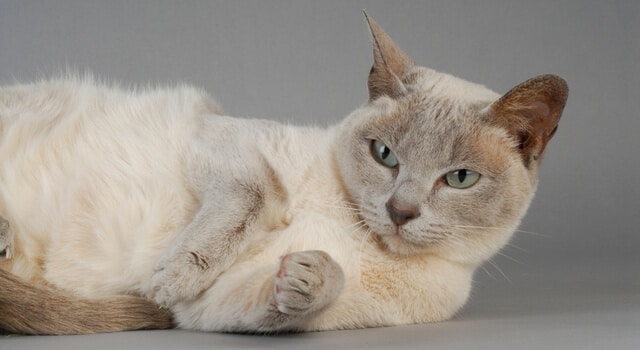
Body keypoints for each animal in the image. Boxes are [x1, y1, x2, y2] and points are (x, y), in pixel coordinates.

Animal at [0, 13, 568, 334]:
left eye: (459, 179)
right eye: (385, 155)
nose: (400, 211)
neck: (359, 237)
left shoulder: (211, 308)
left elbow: (292, 298)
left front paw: (307, 275)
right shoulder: (216, 134)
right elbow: (257, 194)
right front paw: (173, 274)